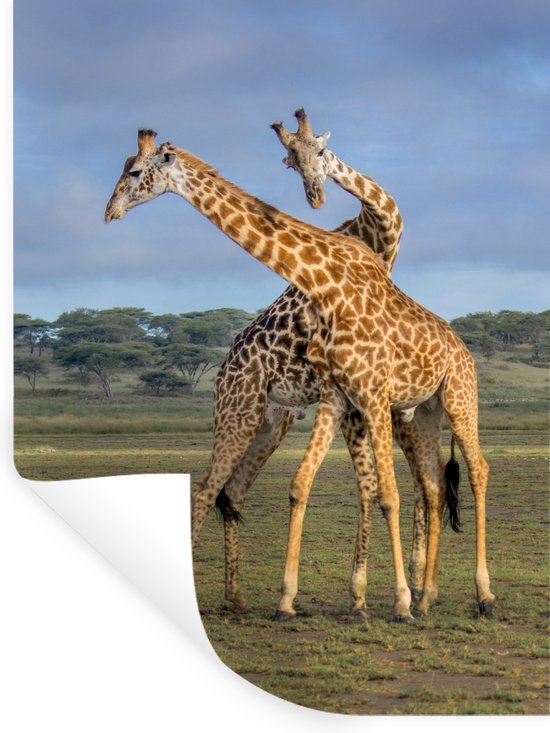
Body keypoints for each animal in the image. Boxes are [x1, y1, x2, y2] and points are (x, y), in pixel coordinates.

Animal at [105, 129, 495, 621]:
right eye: (290, 159)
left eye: (135, 171)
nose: (110, 210)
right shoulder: (347, 400)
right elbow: (326, 485)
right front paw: (341, 596)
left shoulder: (368, 399)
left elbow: (378, 490)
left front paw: (383, 598)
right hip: (257, 416)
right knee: (216, 491)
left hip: (450, 401)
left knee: (469, 472)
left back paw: (475, 594)